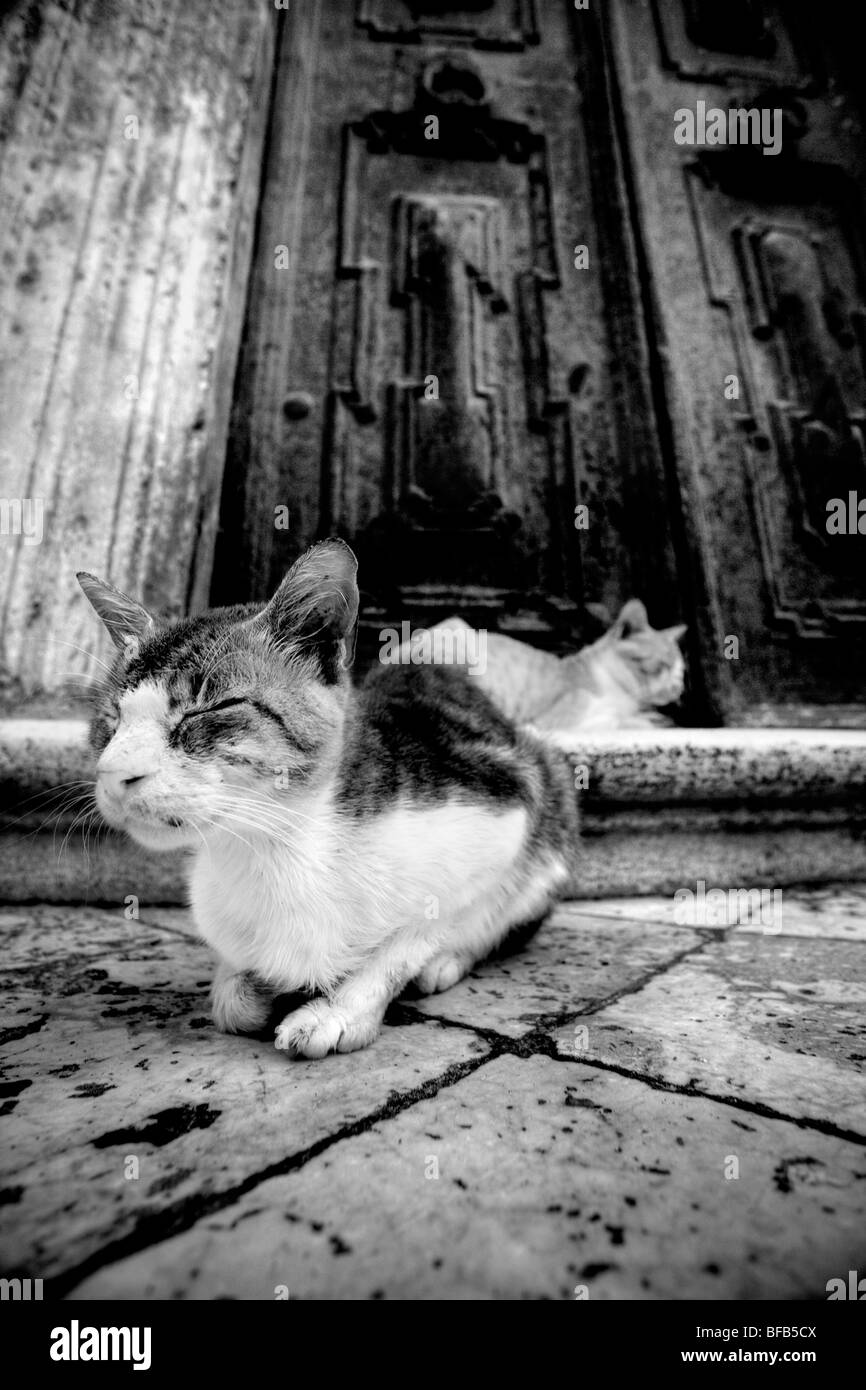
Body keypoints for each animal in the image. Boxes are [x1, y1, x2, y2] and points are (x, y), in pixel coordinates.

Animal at [74, 539, 575, 1050]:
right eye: (112, 720)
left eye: (207, 710)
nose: (113, 771)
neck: (275, 850)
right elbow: (233, 1001)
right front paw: (251, 986)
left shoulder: (502, 810)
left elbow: (419, 932)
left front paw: (338, 1009)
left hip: (547, 775)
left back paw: (444, 963)